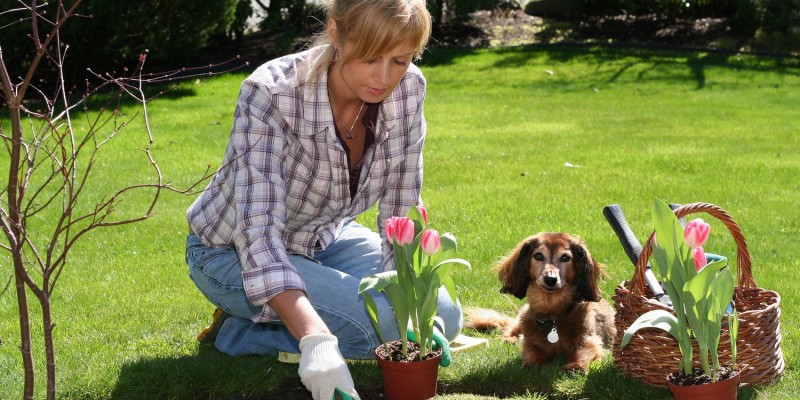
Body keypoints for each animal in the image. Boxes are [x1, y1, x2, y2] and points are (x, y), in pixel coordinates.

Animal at [466, 231, 616, 372]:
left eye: (565, 258)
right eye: (538, 256)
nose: (550, 279)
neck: (552, 312)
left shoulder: (590, 340)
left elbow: (583, 351)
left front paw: (576, 365)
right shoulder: (530, 342)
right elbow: (532, 351)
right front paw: (532, 362)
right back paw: (510, 338)